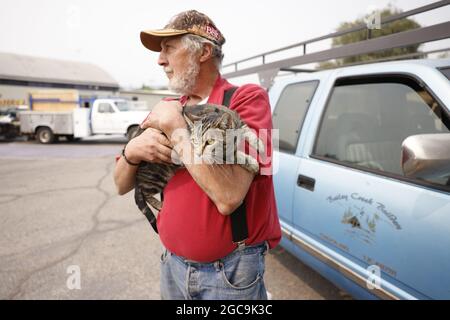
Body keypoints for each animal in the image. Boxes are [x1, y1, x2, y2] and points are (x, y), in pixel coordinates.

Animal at [132, 104, 262, 231]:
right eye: (194, 141)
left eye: (210, 141)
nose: (198, 154)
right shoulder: (220, 156)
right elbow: (231, 155)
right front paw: (250, 162)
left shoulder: (237, 119)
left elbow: (246, 129)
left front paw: (259, 144)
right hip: (157, 175)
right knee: (144, 193)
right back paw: (159, 205)